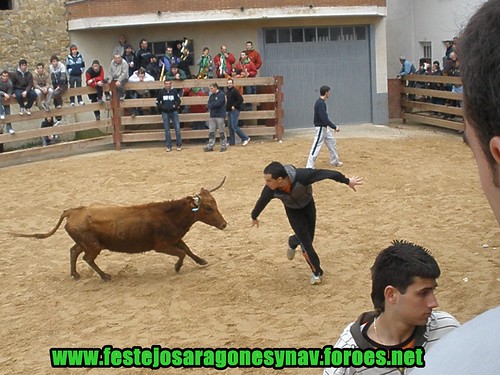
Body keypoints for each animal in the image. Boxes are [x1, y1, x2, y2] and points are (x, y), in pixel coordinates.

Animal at [11, 178, 227, 280]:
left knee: (73, 252)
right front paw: (177, 267)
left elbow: (187, 250)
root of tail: (73, 211)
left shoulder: (175, 239)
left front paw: (201, 261)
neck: (169, 214)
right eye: (208, 208)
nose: (224, 224)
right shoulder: (162, 246)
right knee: (87, 258)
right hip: (93, 246)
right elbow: (181, 253)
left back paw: (75, 275)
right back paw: (105, 276)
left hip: (85, 243)